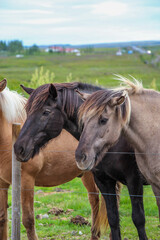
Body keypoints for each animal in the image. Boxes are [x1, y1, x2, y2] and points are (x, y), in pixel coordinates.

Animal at [0, 79, 107, 240]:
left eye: (45, 112)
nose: (19, 149)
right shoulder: (2, 183)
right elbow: (3, 218)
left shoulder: (26, 181)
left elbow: (28, 220)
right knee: (95, 201)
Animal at [13, 81, 158, 239]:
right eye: (27, 112)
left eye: (46, 112)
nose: (19, 148)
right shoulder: (104, 181)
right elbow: (113, 219)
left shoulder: (133, 180)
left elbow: (138, 219)